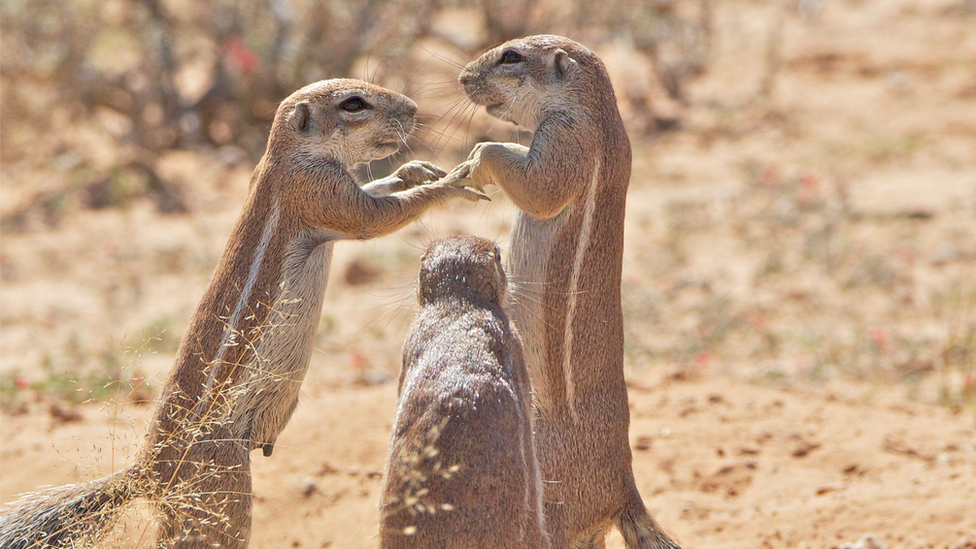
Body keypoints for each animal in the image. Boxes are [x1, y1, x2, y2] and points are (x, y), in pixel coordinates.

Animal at [0, 77, 484, 548]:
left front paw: (414, 170)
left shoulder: (335, 186)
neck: (284, 156)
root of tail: (147, 473)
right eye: (353, 104)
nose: (413, 109)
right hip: (222, 489)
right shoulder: (318, 192)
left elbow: (376, 190)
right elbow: (376, 216)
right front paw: (449, 182)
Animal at [458, 36, 680, 548]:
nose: (462, 78)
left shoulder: (566, 141)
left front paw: (478, 158)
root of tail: (623, 487)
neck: (595, 110)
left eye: (512, 57)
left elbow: (536, 186)